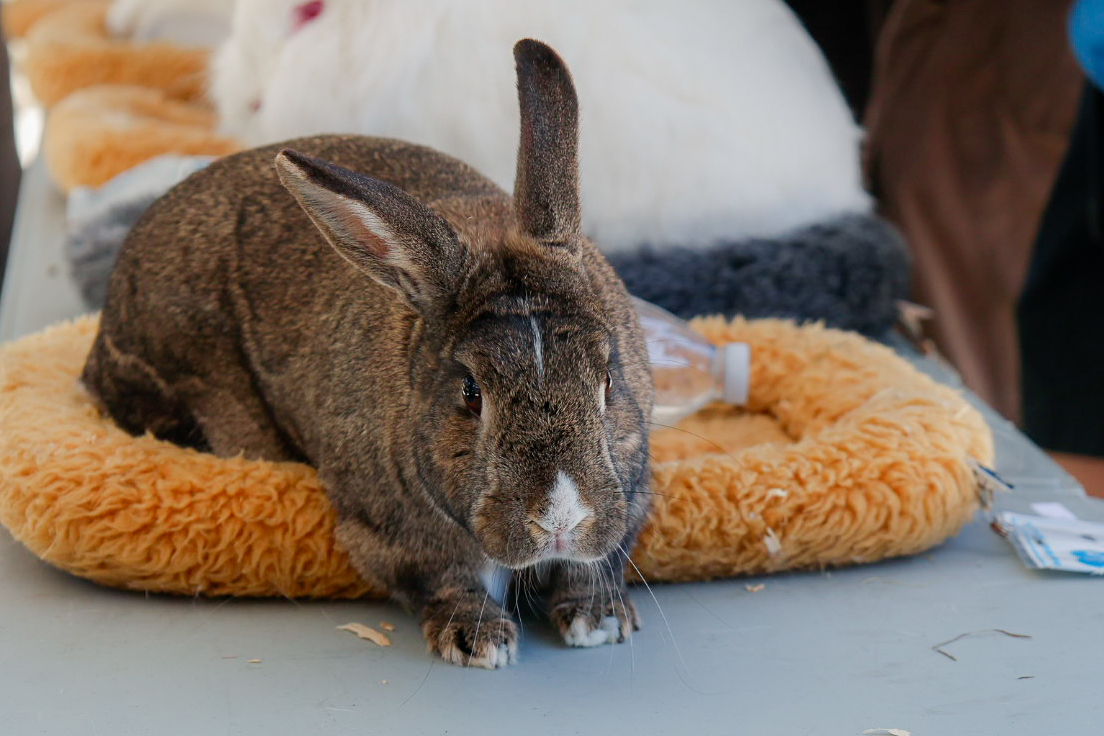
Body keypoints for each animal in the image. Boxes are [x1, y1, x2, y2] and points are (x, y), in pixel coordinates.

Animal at [81, 39, 654, 669]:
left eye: (607, 379)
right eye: (470, 394)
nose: (559, 520)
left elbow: (597, 564)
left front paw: (598, 620)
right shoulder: (395, 541)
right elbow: (447, 581)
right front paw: (478, 641)